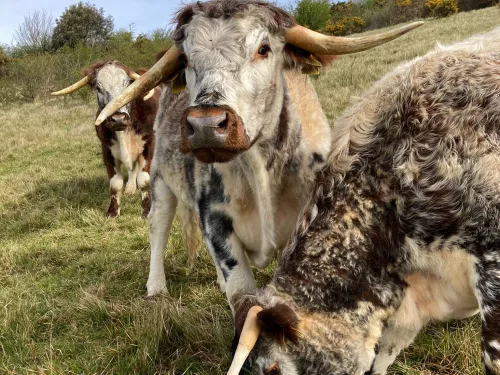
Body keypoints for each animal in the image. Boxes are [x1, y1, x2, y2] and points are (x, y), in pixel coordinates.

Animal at [50, 60, 160, 219]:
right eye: (98, 88)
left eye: (127, 84)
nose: (118, 118)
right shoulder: (107, 150)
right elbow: (115, 183)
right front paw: (113, 211)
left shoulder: (149, 145)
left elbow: (144, 180)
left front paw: (147, 211)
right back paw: (130, 188)